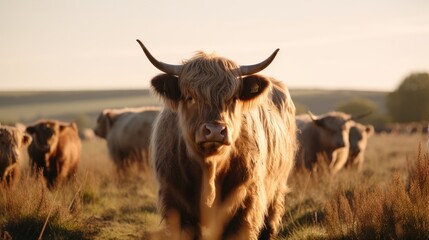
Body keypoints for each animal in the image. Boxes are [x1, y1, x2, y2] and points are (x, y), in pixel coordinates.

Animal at [135, 39, 296, 240]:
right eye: (190, 97)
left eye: (233, 98)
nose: (215, 131)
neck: (210, 166)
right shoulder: (175, 201)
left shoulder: (246, 202)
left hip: (277, 188)